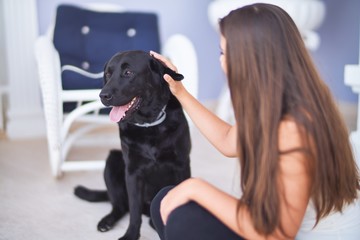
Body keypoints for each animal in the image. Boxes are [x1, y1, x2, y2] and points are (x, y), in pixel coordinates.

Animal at [73, 49, 191, 239]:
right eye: (108, 74)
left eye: (128, 72)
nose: (103, 95)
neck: (149, 124)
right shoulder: (133, 173)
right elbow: (134, 211)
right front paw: (131, 234)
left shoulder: (182, 165)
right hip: (112, 161)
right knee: (120, 206)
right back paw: (107, 221)